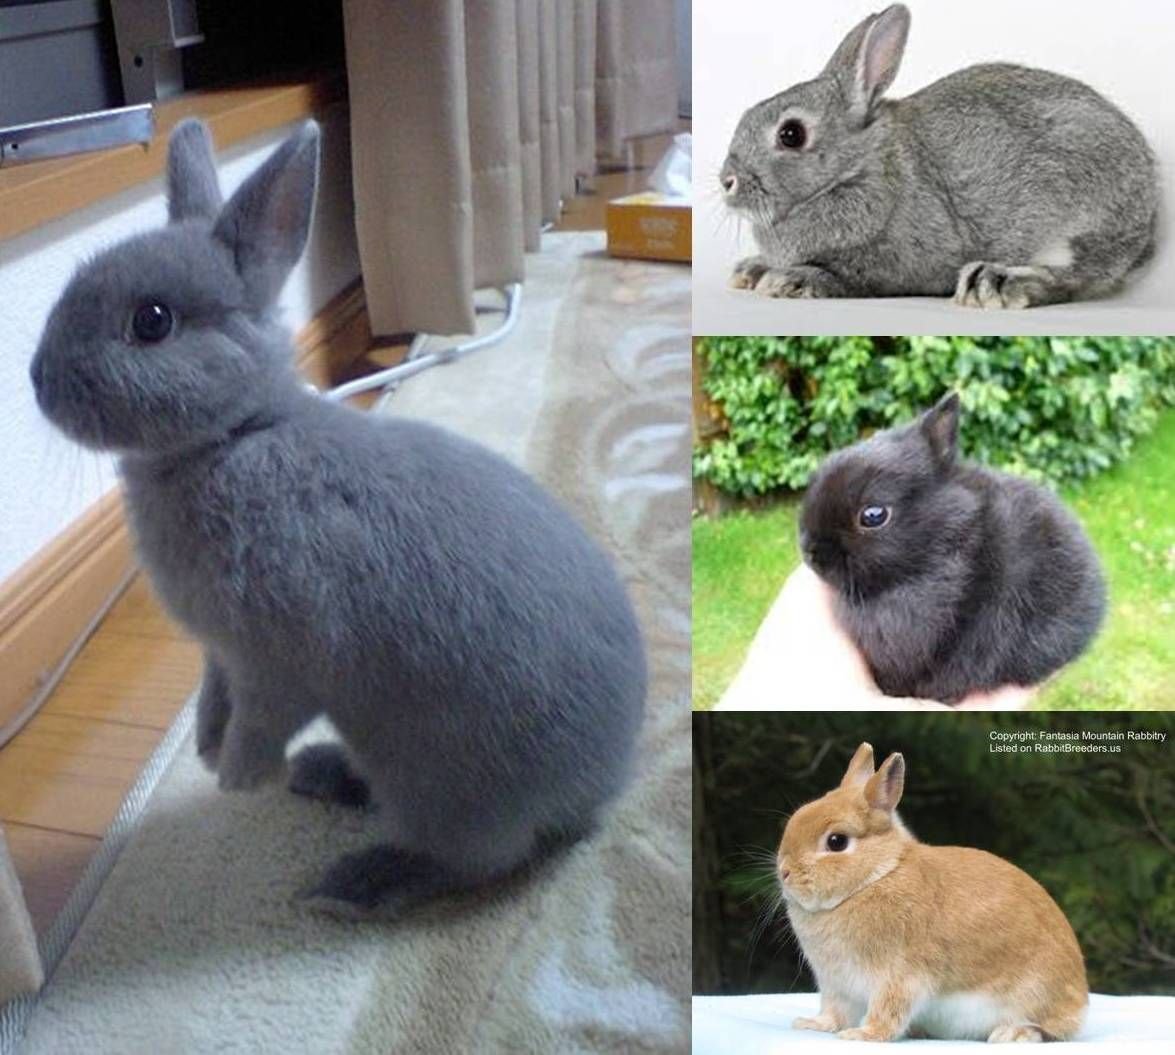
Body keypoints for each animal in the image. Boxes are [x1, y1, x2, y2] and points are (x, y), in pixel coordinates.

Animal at [29, 118, 647, 912]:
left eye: (153, 321)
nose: (37, 381)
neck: (236, 435)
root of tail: (599, 791)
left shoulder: (280, 658)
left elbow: (265, 716)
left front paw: (237, 775)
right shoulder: (220, 654)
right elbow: (215, 696)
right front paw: (206, 746)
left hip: (440, 783)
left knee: (471, 863)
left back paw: (352, 883)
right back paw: (322, 777)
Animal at [720, 3, 1158, 308]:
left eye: (791, 134)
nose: (727, 181)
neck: (857, 167)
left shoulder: (893, 263)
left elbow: (851, 278)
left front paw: (790, 280)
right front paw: (751, 270)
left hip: (1080, 209)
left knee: (1074, 276)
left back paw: (995, 282)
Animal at [777, 742, 1089, 1042]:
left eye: (837, 841)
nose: (784, 872)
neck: (876, 876)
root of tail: (1081, 1000)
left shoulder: (900, 977)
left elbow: (888, 1011)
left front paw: (862, 1035)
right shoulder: (837, 986)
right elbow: (834, 1012)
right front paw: (812, 1024)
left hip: (1037, 994)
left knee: (1052, 1029)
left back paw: (1012, 1034)